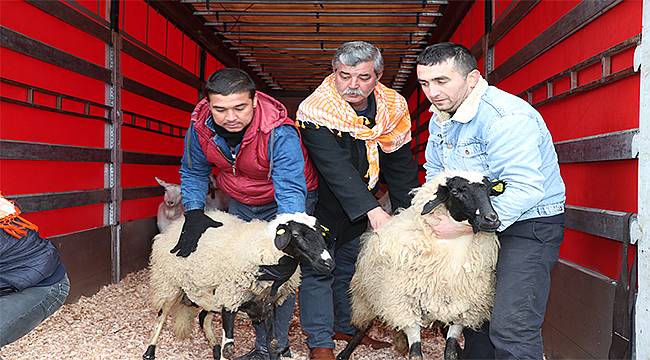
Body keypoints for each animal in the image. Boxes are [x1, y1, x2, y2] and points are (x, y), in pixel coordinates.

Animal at [142, 211, 334, 360]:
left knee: (203, 317)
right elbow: (229, 349)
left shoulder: (266, 305)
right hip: (170, 283)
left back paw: (214, 348)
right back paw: (149, 352)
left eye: (321, 233)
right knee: (162, 315)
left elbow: (272, 343)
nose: (328, 264)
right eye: (295, 235)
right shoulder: (230, 300)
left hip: (208, 294)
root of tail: (174, 225)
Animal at [336, 172, 504, 360]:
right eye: (455, 192)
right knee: (363, 326)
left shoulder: (462, 309)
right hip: (370, 294)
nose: (492, 219)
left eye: (489, 191)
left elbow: (451, 352)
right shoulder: (405, 307)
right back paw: (344, 353)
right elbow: (416, 354)